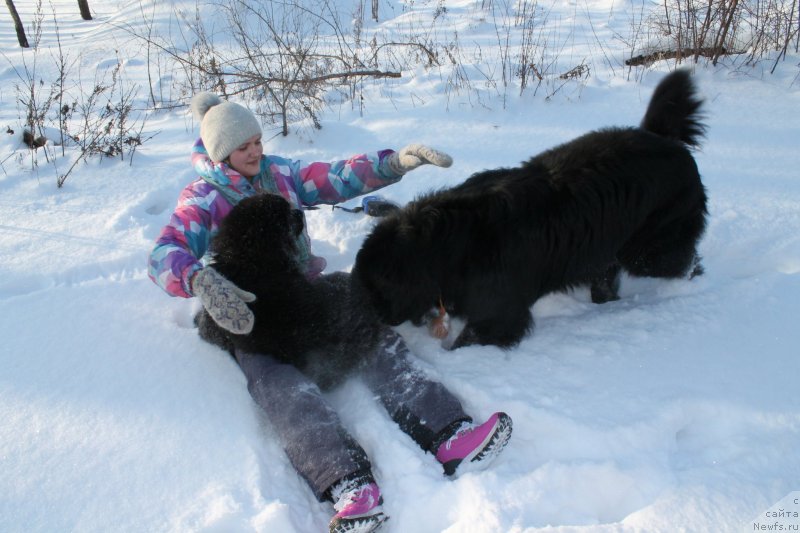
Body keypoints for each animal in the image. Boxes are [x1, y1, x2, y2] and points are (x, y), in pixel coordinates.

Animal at [354, 69, 708, 350]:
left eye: (378, 287)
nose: (378, 319)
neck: (446, 246)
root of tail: (665, 138)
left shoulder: (499, 313)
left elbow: (473, 338)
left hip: (650, 248)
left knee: (683, 261)